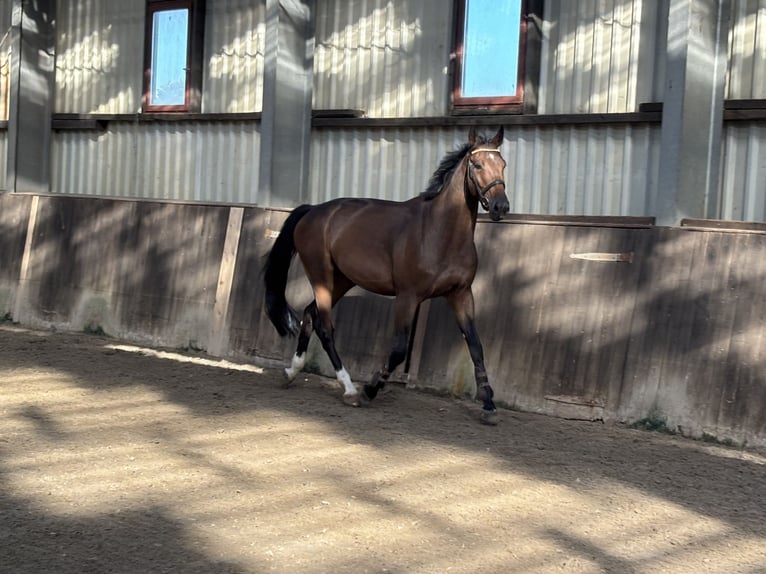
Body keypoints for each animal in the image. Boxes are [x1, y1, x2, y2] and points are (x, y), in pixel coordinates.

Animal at [263, 126, 509, 425]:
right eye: (477, 164)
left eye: (503, 165)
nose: (500, 207)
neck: (440, 232)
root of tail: (311, 211)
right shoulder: (408, 297)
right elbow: (399, 349)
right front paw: (369, 390)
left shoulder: (460, 294)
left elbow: (475, 345)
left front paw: (489, 406)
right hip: (321, 276)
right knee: (324, 326)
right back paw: (349, 389)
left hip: (342, 280)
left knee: (310, 314)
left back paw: (292, 372)